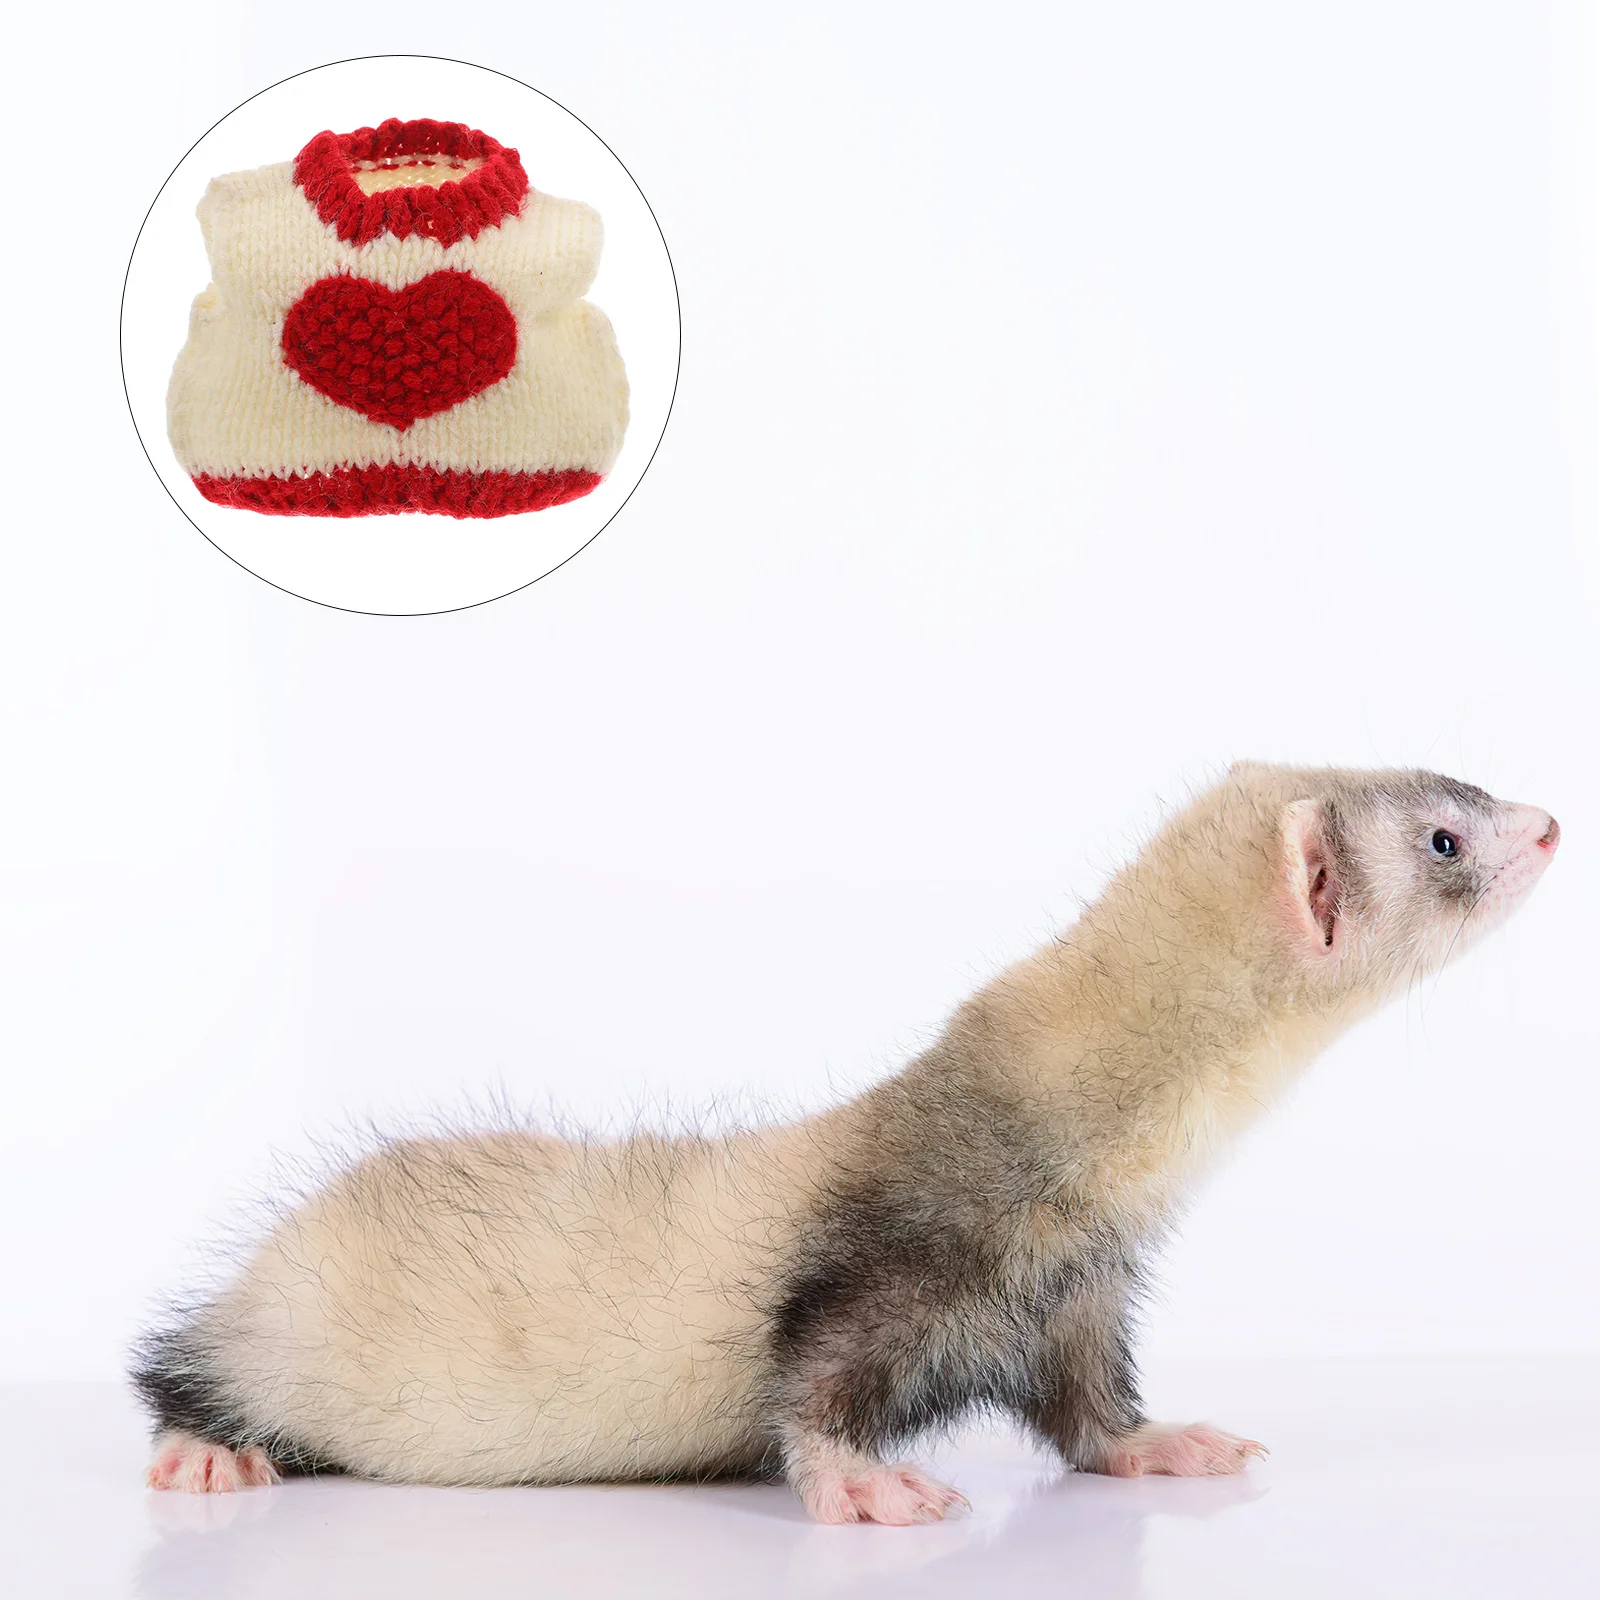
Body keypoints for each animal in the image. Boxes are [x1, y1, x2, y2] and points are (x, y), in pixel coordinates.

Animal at [135, 763, 1559, 1522]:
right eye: (1443, 834)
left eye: (1452, 787)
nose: (1547, 821)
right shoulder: (889, 1264)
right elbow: (810, 1387)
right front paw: (866, 1487)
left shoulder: (1076, 1299)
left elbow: (1088, 1413)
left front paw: (1168, 1444)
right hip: (271, 1337)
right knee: (172, 1371)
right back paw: (206, 1452)